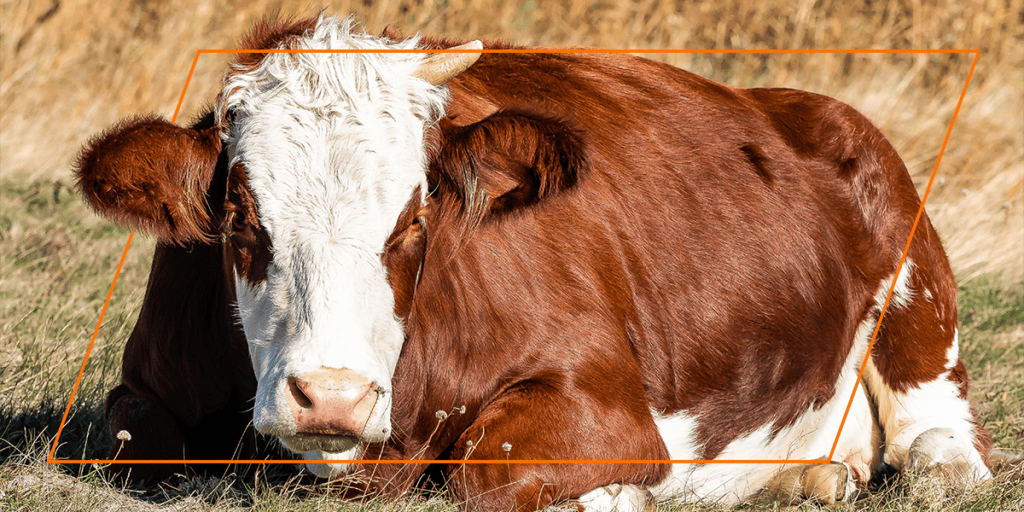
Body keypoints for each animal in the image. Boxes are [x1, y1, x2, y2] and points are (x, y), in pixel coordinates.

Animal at [75, 15, 992, 511]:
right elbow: (135, 440)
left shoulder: (606, 402)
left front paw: (616, 493)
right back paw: (810, 478)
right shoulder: (146, 386)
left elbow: (488, 467)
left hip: (913, 282)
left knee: (940, 441)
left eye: (417, 216)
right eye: (239, 215)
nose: (330, 396)